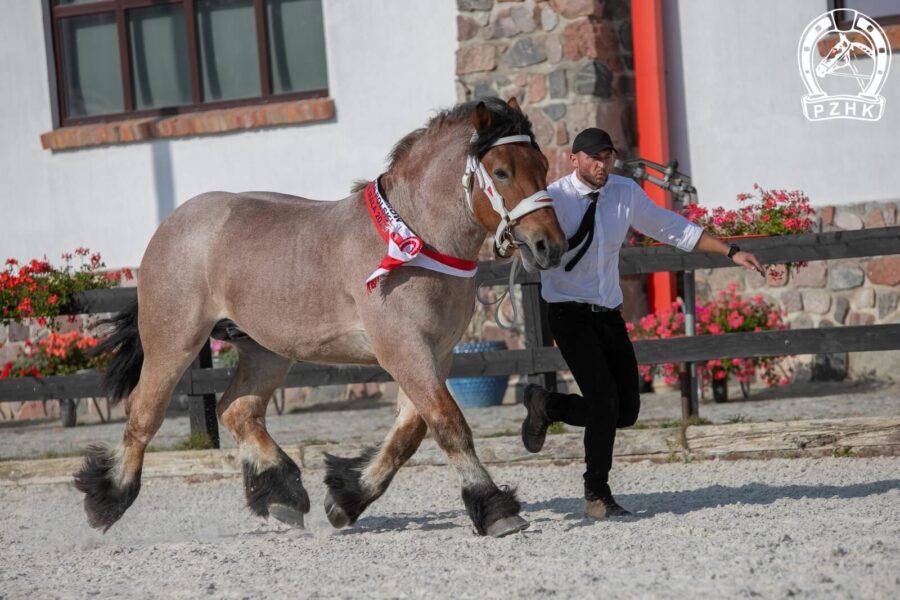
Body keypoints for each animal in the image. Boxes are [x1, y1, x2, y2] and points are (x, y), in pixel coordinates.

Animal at [79, 96, 568, 536]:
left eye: (543, 166)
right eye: (502, 172)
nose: (550, 245)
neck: (415, 240)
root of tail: (173, 223)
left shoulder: (436, 354)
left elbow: (409, 434)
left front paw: (347, 499)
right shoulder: (405, 351)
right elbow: (448, 425)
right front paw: (494, 509)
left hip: (265, 350)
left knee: (237, 410)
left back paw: (283, 496)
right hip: (174, 340)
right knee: (144, 413)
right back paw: (108, 500)